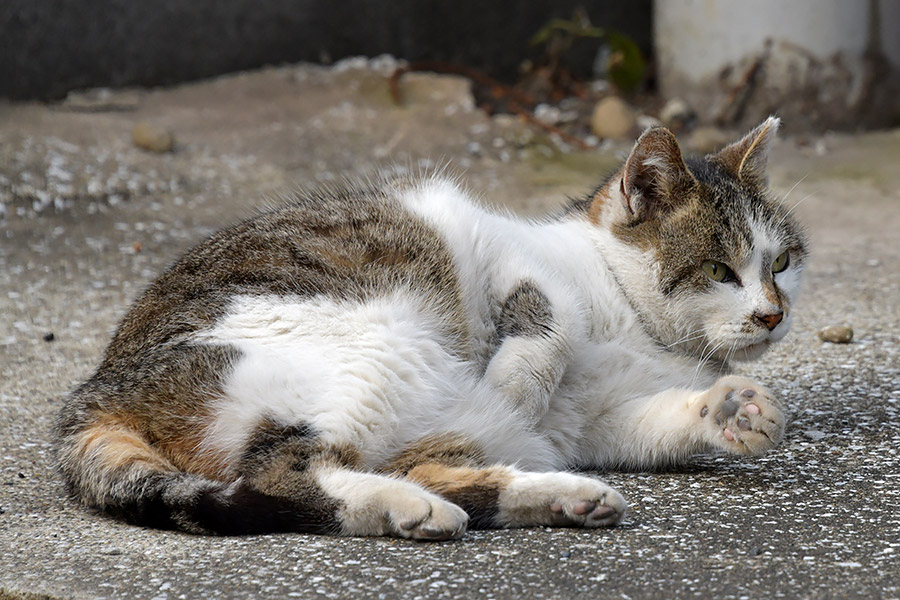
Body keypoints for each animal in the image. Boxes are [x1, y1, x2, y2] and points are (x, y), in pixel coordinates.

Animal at [56, 117, 808, 540]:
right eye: (718, 269)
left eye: (783, 262)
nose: (773, 314)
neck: (634, 320)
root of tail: (95, 392)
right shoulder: (500, 253)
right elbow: (552, 324)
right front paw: (517, 381)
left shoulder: (599, 423)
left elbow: (657, 420)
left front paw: (736, 410)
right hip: (379, 350)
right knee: (282, 475)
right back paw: (405, 506)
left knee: (417, 466)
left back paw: (556, 497)